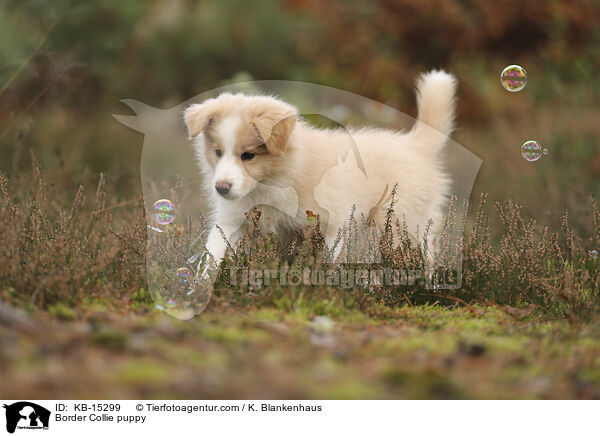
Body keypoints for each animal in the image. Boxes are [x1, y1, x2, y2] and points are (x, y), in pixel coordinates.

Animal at [183, 70, 454, 270]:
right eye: (218, 152)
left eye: (248, 155)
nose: (221, 188)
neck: (274, 181)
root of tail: (414, 145)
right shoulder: (232, 219)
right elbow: (213, 251)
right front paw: (199, 289)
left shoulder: (334, 220)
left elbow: (331, 257)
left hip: (398, 220)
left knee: (420, 254)